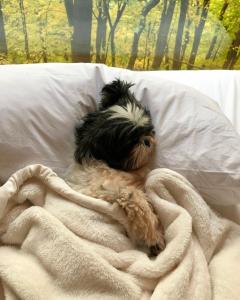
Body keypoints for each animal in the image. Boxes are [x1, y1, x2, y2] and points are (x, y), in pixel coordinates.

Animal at [65, 79, 165, 255]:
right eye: (131, 143)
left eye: (147, 129)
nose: (146, 140)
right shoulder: (115, 191)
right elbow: (140, 205)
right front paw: (154, 237)